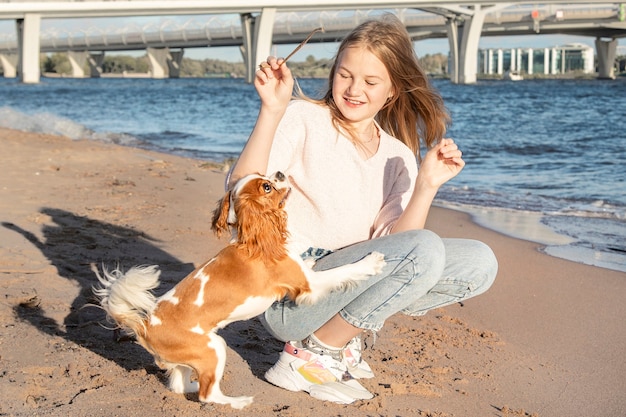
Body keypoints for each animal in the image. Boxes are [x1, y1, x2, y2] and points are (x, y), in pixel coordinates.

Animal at [92, 171, 386, 408]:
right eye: (267, 187)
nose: (280, 172)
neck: (253, 238)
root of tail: (145, 326)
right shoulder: (310, 285)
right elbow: (342, 271)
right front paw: (371, 262)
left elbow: (311, 266)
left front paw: (311, 260)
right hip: (214, 347)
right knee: (208, 394)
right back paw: (237, 402)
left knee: (179, 384)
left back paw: (192, 386)